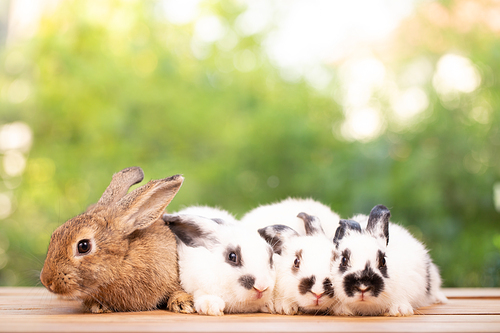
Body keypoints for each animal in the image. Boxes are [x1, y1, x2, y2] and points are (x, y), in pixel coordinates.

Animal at [39, 167, 193, 312]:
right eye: (55, 235)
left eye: (83, 246)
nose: (47, 281)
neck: (123, 261)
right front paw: (98, 306)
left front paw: (184, 303)